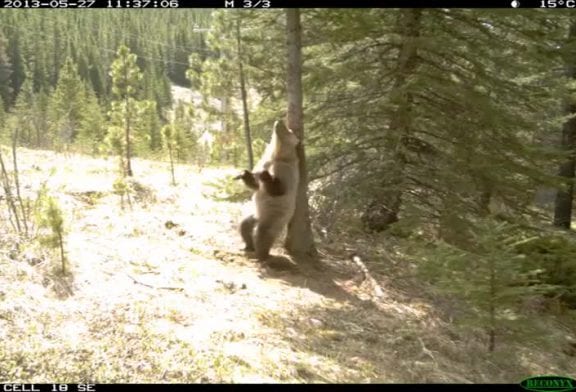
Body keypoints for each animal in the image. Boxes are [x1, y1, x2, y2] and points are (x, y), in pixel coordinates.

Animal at [235, 119, 300, 260]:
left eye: (289, 130)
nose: (280, 120)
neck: (278, 155)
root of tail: (260, 218)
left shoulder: (285, 169)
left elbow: (279, 189)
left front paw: (265, 175)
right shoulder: (265, 162)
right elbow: (255, 185)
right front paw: (244, 174)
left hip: (275, 216)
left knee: (263, 233)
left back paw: (261, 254)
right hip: (255, 213)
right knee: (244, 225)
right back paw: (248, 246)